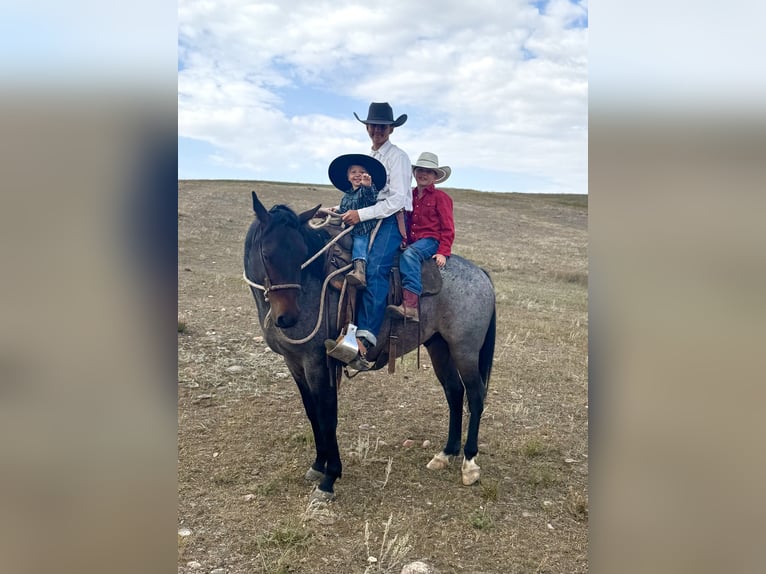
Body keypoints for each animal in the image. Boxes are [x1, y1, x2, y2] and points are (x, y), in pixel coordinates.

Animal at [243, 192, 496, 501]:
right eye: (267, 254)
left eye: (301, 253)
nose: (287, 317)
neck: (313, 283)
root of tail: (481, 273)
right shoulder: (294, 364)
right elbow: (312, 413)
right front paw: (317, 465)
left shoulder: (318, 362)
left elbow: (327, 415)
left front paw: (329, 478)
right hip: (439, 347)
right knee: (454, 391)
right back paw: (446, 453)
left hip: (465, 350)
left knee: (475, 395)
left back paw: (469, 463)